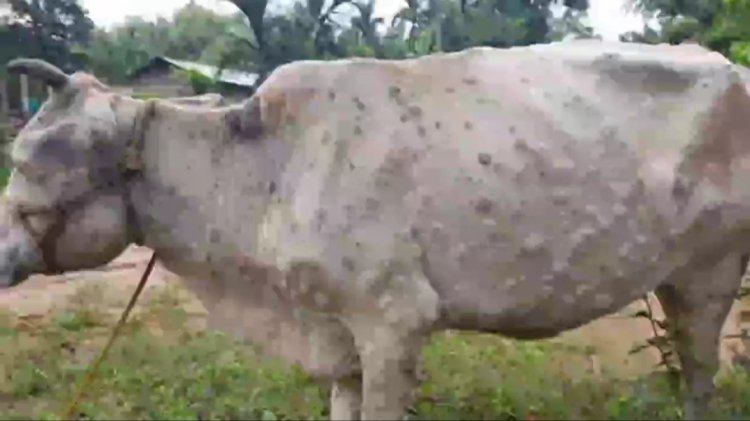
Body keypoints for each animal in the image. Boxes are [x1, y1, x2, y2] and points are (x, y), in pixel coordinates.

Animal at [1, 40, 750, 420]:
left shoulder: (394, 320)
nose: (3, 256)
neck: (268, 170)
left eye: (30, 160)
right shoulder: (339, 337)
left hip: (711, 273)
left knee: (701, 374)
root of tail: (730, 66)